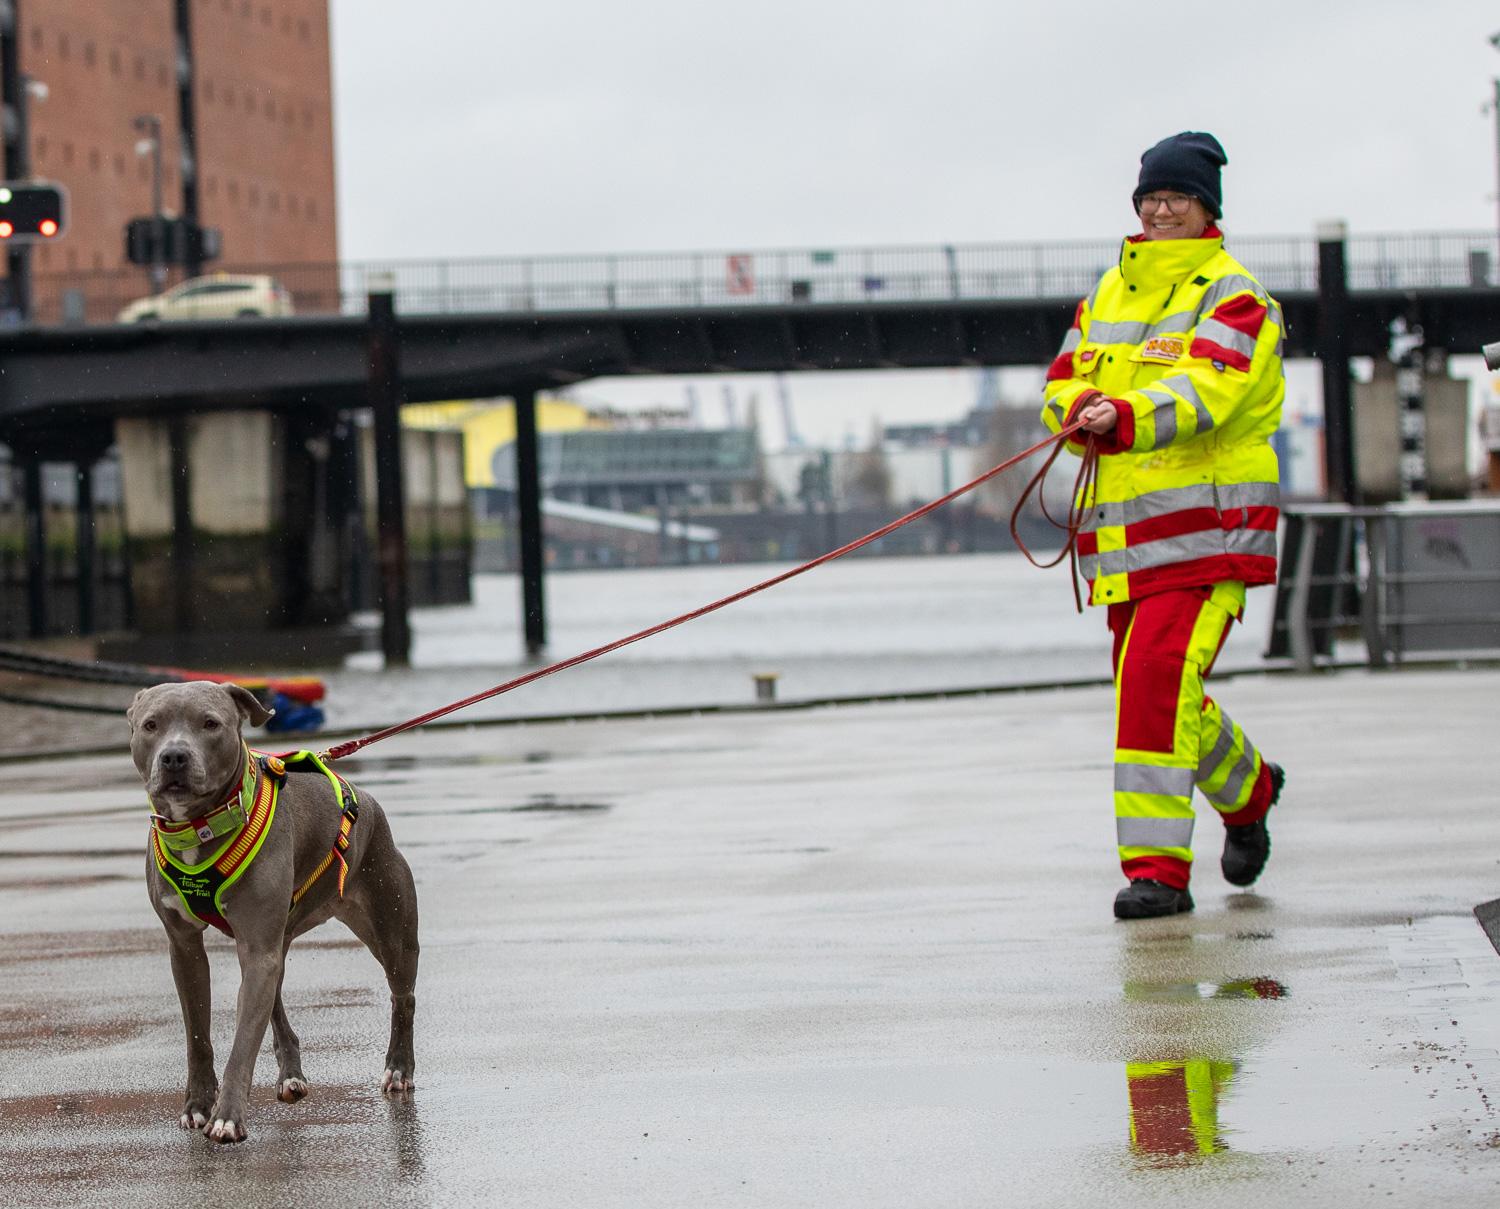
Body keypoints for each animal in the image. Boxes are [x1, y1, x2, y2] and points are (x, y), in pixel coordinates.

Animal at [128, 680, 418, 1143]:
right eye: (151, 725)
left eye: (210, 724)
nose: (174, 756)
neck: (200, 825)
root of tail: (369, 800)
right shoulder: (186, 947)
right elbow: (198, 1034)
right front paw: (198, 1105)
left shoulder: (257, 946)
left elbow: (244, 1040)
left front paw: (227, 1116)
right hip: (276, 939)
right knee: (276, 1001)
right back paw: (291, 1075)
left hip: (390, 927)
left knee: (402, 996)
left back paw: (399, 1068)